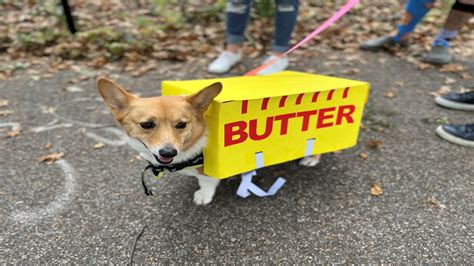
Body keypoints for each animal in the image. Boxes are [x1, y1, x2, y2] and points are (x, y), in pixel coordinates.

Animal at [96, 78, 318, 205]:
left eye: (181, 124)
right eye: (147, 125)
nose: (168, 152)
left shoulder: (208, 170)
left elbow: (206, 181)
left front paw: (203, 196)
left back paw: (311, 159)